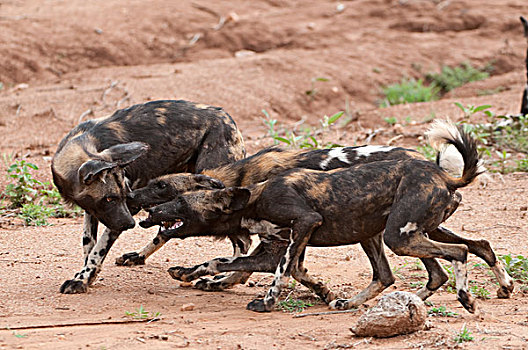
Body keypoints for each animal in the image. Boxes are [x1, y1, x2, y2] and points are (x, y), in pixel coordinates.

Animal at [51, 100, 245, 294]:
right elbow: (89, 245)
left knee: (241, 243)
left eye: (125, 195)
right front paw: (87, 276)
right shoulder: (94, 211)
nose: (130, 224)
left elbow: (98, 249)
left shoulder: (124, 211)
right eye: (109, 199)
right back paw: (138, 256)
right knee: (167, 230)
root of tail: (227, 118)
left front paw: (83, 279)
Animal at [141, 120, 508, 312]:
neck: (249, 190)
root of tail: (442, 173)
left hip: (399, 235)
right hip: (393, 232)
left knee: (456, 254)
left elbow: (269, 271)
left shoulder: (296, 232)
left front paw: (265, 300)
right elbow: (226, 262)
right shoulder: (282, 246)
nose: (144, 208)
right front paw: (323, 292)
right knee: (468, 250)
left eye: (169, 193)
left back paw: (458, 298)